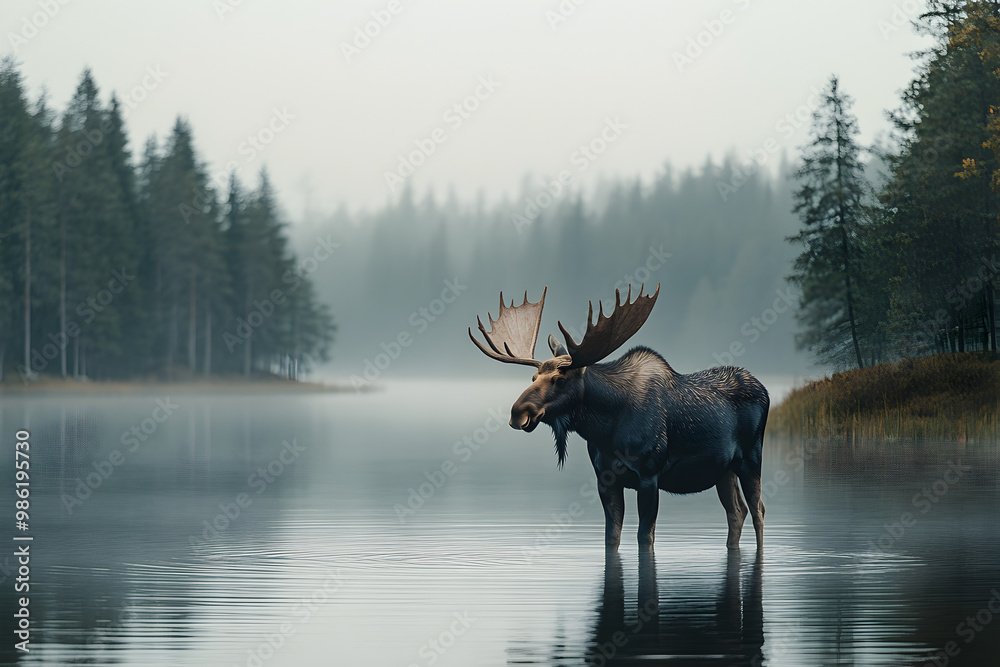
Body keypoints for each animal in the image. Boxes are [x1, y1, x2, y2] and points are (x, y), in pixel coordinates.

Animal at [469, 284, 769, 551]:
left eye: (560, 379)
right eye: (533, 377)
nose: (518, 413)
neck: (606, 429)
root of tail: (763, 388)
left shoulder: (649, 475)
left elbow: (644, 537)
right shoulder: (605, 479)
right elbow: (611, 537)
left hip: (751, 458)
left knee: (758, 510)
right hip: (724, 469)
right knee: (737, 511)